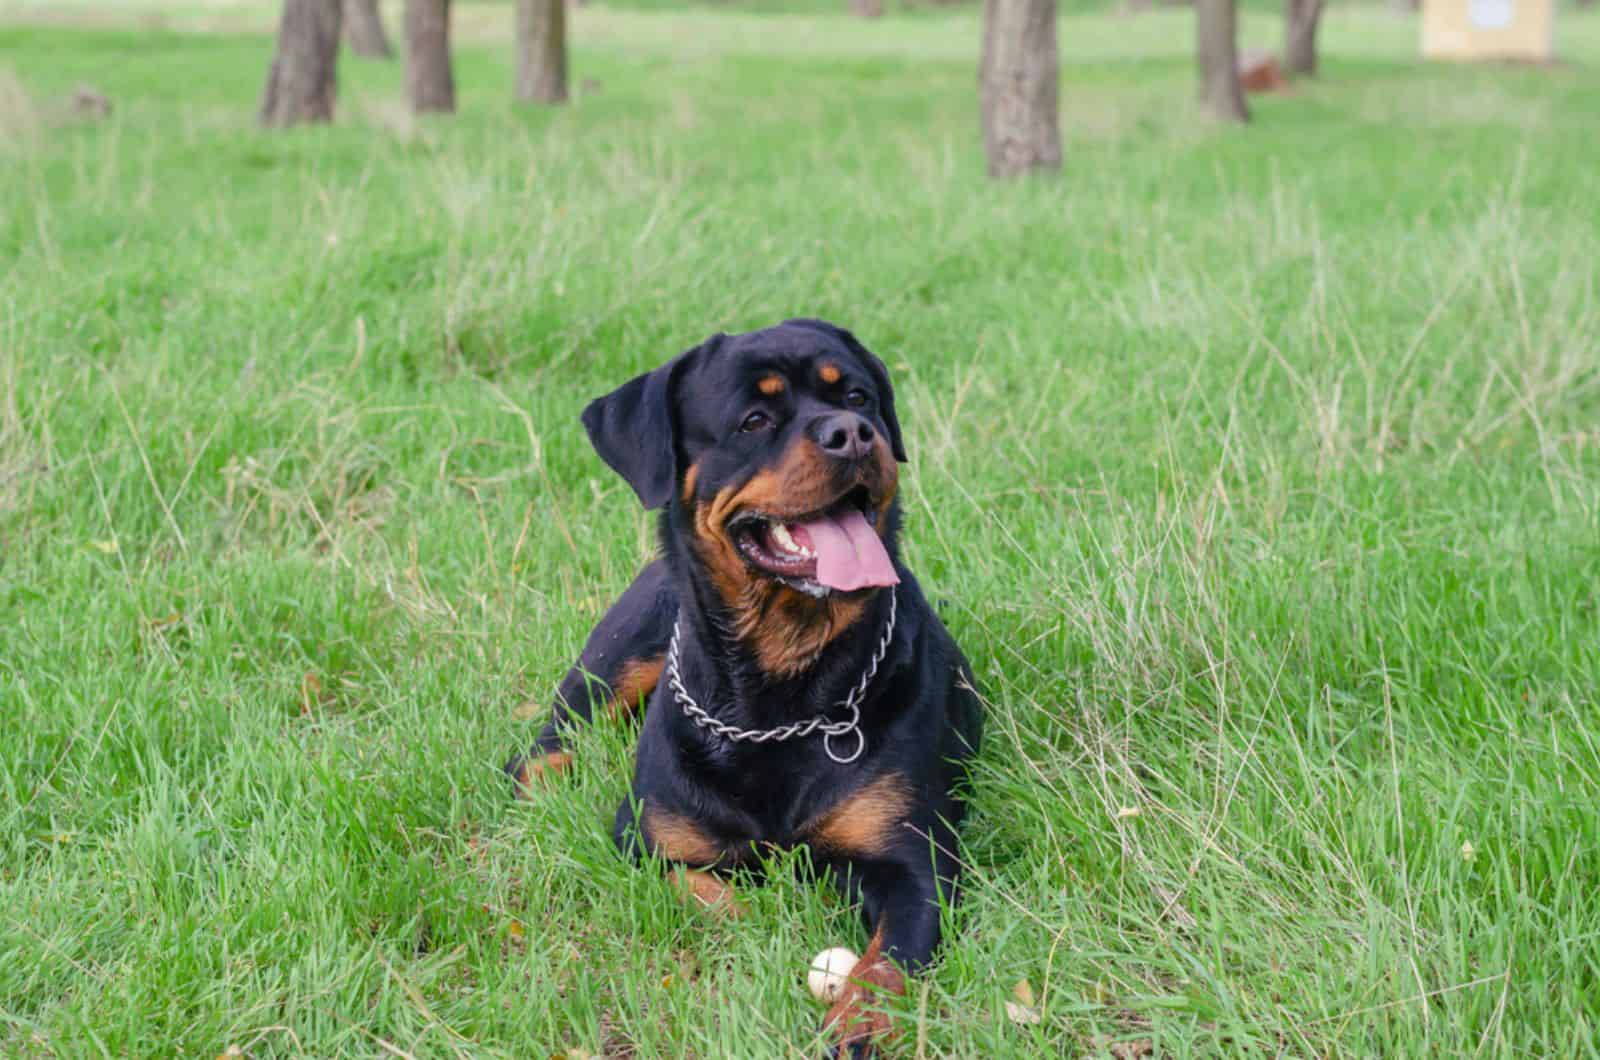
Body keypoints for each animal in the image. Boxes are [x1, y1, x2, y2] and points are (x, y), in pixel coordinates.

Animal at [505, 320, 979, 1056]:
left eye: (859, 397)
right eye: (754, 421)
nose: (852, 433)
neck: (782, 689)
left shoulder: (914, 859)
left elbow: (888, 961)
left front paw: (857, 1021)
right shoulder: (646, 841)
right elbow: (705, 893)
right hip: (621, 650)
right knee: (548, 740)